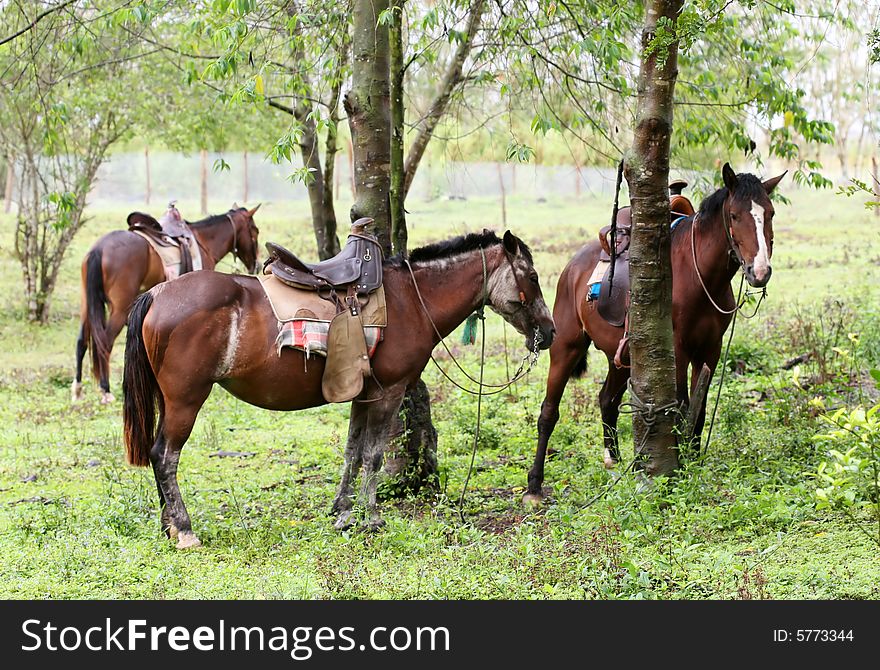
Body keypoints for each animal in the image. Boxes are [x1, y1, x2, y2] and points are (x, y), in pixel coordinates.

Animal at [74, 202, 260, 404]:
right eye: (255, 231)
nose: (256, 265)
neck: (203, 242)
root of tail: (99, 249)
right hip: (119, 309)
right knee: (105, 343)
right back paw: (105, 390)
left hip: (86, 304)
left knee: (81, 341)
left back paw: (77, 390)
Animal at [122, 223, 556, 548]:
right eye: (533, 277)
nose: (550, 332)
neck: (411, 300)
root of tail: (157, 293)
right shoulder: (389, 392)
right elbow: (373, 456)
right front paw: (372, 517)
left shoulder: (362, 394)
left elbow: (352, 451)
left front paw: (343, 511)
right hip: (187, 399)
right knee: (165, 455)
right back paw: (184, 529)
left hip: (170, 400)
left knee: (158, 454)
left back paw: (167, 524)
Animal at [524, 164, 788, 504]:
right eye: (734, 215)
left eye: (770, 213)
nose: (760, 271)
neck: (699, 274)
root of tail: (573, 267)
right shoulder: (677, 349)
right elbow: (681, 406)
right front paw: (680, 466)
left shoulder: (710, 350)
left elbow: (699, 410)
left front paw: (692, 461)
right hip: (566, 347)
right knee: (549, 412)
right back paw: (534, 485)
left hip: (623, 355)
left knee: (607, 399)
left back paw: (616, 464)